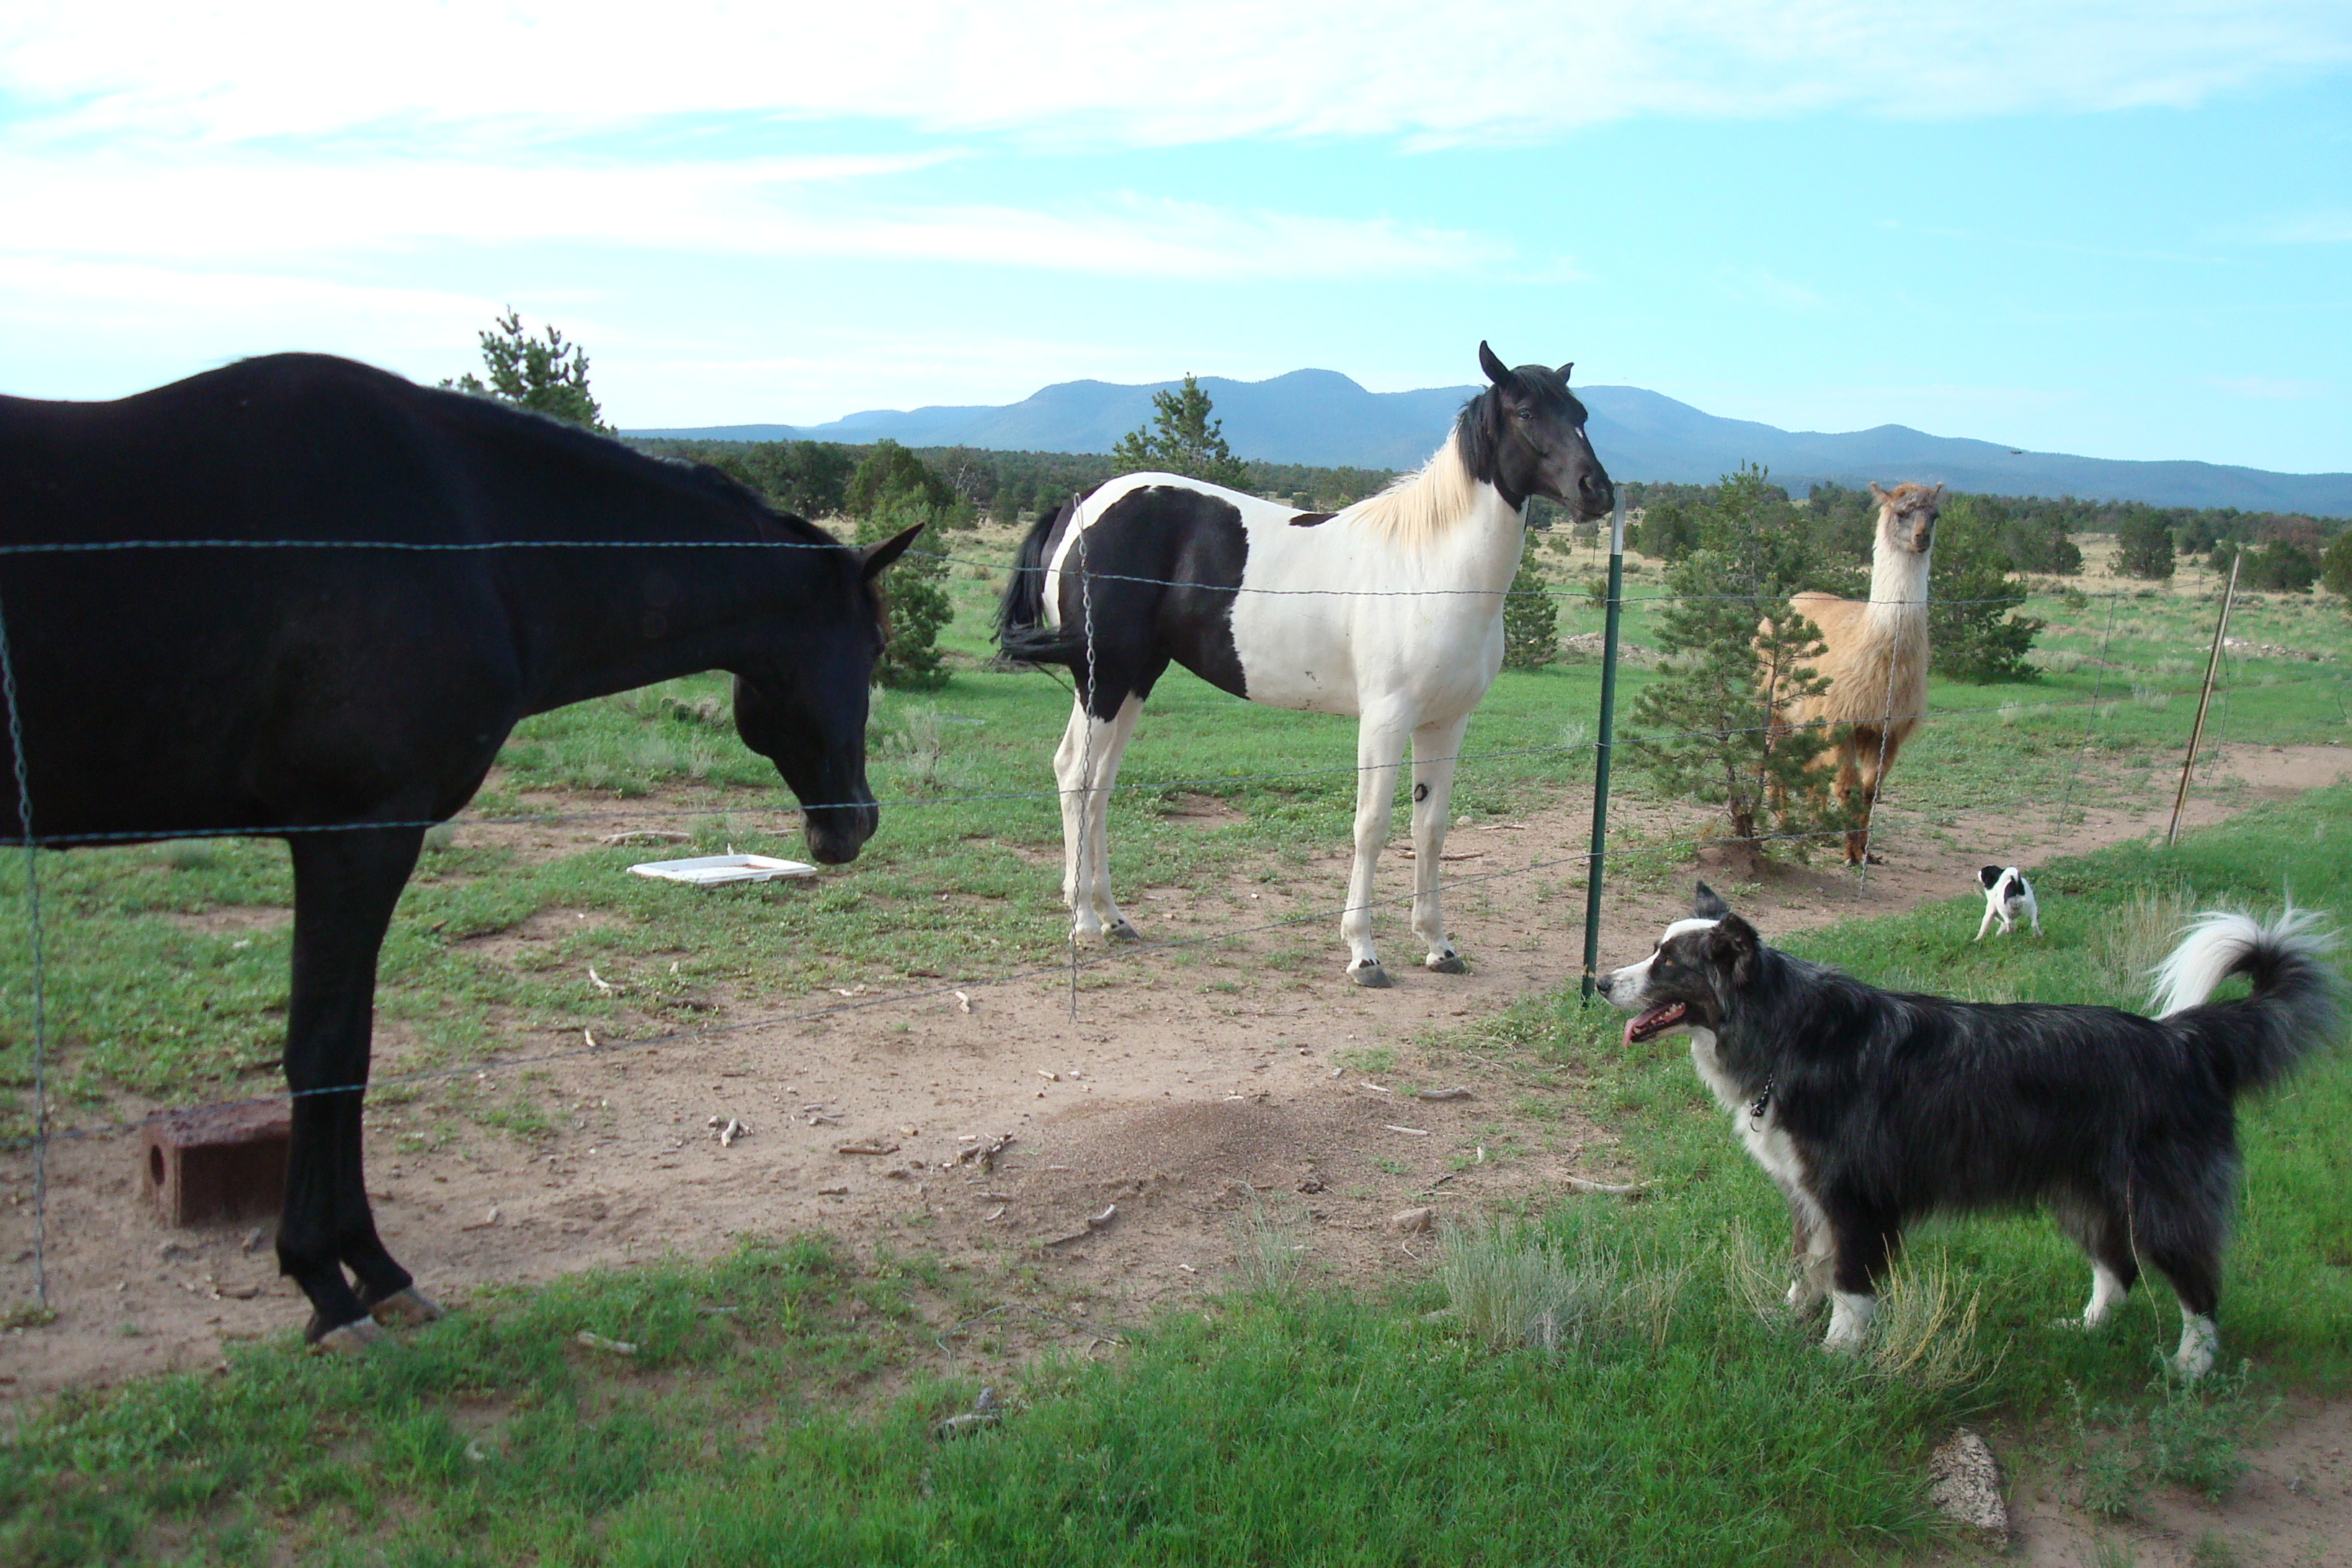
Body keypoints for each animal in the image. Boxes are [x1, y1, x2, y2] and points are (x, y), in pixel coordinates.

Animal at [0, 353, 920, 1349]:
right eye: (874, 645)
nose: (856, 822)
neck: (470, 545)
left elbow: (353, 1053)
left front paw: (367, 1268)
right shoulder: (357, 834)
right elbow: (325, 1053)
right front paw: (329, 1284)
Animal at [995, 343, 1614, 986]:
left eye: (1580, 413)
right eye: (1525, 412)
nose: (1597, 490)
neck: (1434, 568)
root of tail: (1076, 508)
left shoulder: (1445, 722)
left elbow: (1431, 828)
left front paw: (1438, 945)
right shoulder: (1386, 718)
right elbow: (1371, 826)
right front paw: (1363, 952)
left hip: (1135, 678)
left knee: (1100, 786)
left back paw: (1113, 917)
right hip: (1103, 679)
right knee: (1074, 773)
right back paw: (1083, 923)